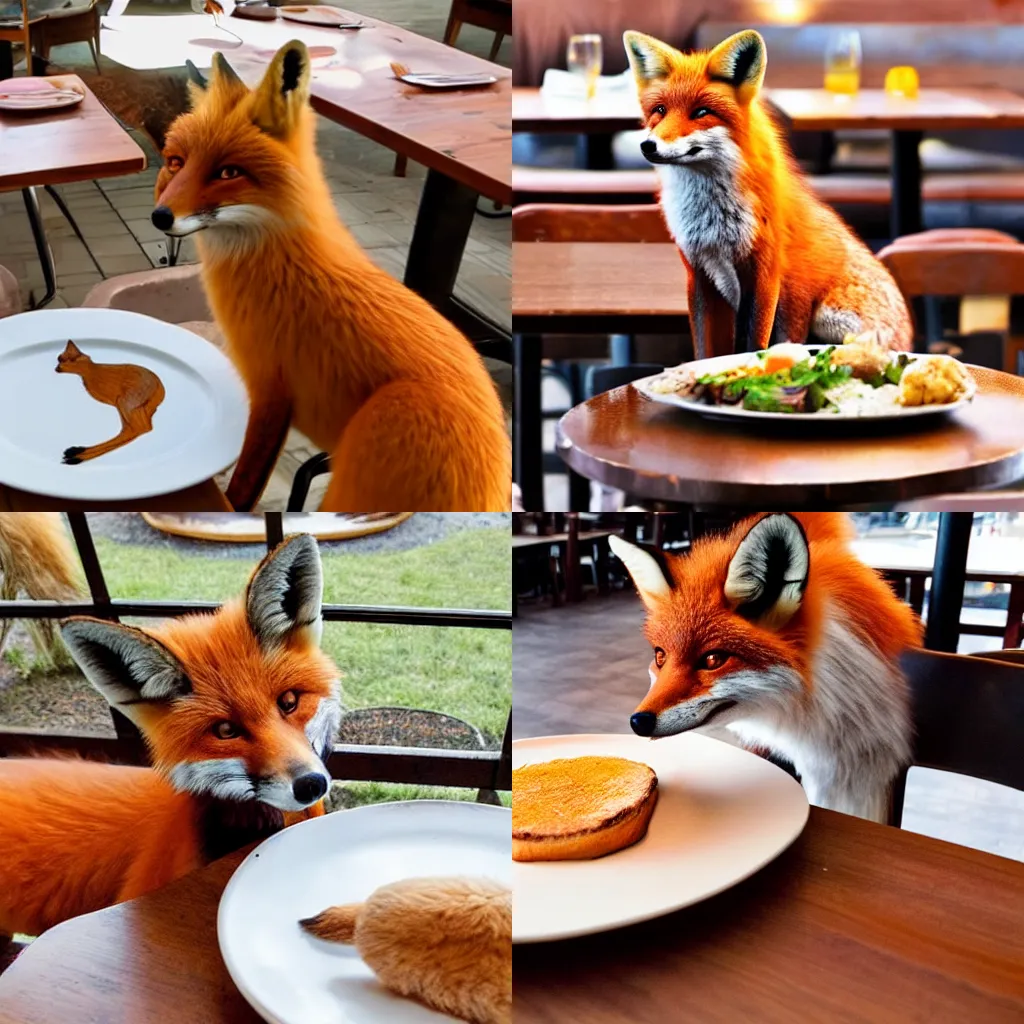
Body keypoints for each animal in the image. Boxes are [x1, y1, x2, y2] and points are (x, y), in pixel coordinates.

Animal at [151, 39, 512, 512]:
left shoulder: (271, 392)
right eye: (175, 163)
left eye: (228, 172)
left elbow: (243, 490)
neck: (280, 267)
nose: (160, 217)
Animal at [622, 29, 913, 358]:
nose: (648, 145)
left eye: (701, 112)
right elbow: (706, 348)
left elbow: (753, 343)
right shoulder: (700, 275)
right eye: (660, 111)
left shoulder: (764, 278)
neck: (714, 223)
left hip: (831, 318)